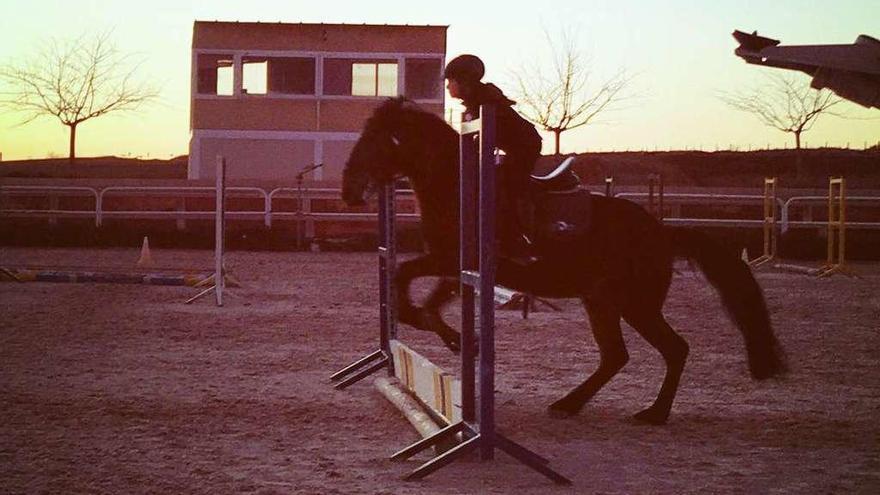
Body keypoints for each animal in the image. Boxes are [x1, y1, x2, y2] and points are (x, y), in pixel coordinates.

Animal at [340, 98, 788, 426]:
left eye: (378, 140)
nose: (347, 190)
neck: (455, 185)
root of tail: (662, 232)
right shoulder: (455, 267)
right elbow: (420, 290)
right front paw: (450, 335)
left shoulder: (453, 261)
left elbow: (408, 280)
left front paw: (446, 332)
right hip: (601, 302)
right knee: (616, 356)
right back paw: (570, 404)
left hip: (635, 304)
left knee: (674, 349)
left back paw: (654, 413)